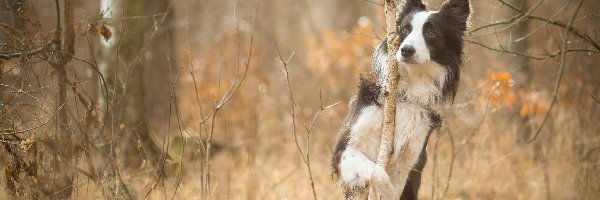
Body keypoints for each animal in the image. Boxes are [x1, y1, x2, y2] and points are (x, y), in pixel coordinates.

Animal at [332, 0, 468, 199]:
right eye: (405, 30)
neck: (407, 90)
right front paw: (385, 190)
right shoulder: (346, 149)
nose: (406, 50)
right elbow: (379, 173)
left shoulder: (410, 159)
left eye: (431, 33)